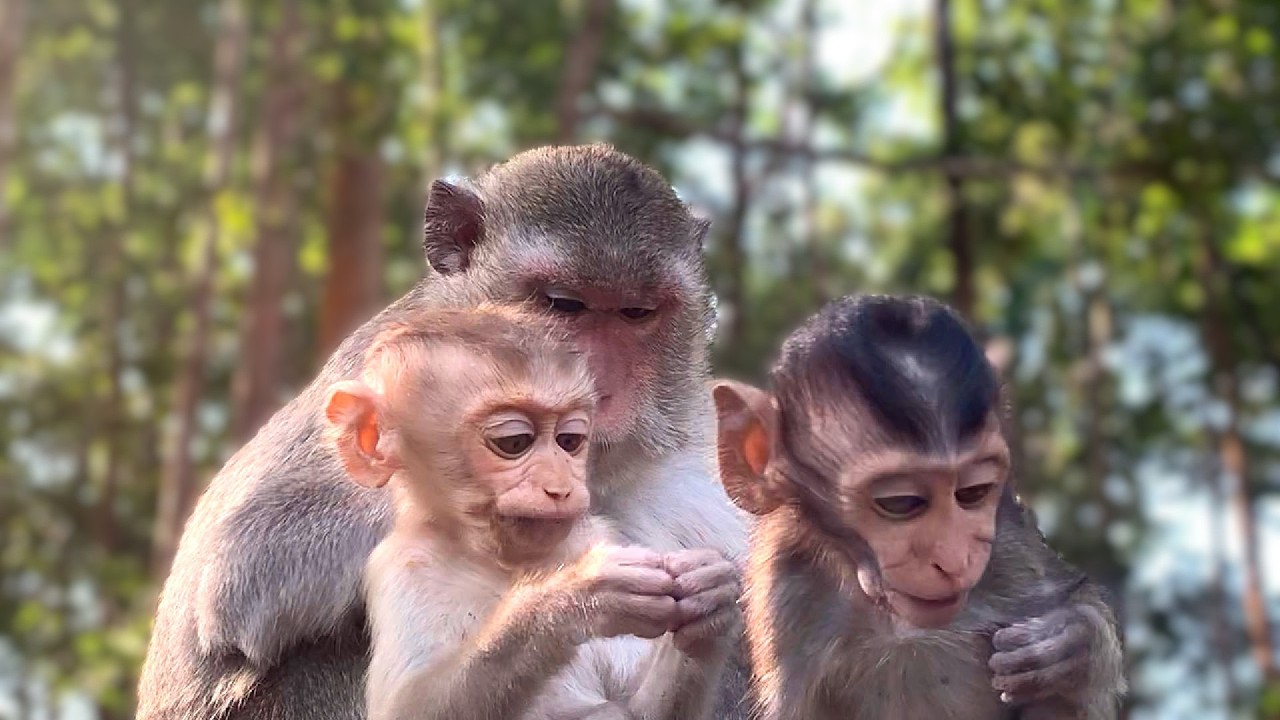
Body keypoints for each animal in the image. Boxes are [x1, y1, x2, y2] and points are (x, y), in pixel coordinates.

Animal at [321, 305, 737, 720]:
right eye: (514, 442)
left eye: (569, 441)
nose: (560, 487)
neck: (503, 560)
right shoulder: (405, 564)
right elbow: (408, 706)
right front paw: (571, 598)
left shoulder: (595, 532)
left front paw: (710, 600)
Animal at [712, 294, 1126, 720]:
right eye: (900, 503)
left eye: (973, 492)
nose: (954, 559)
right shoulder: (785, 589)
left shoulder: (1009, 545)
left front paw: (1075, 645)